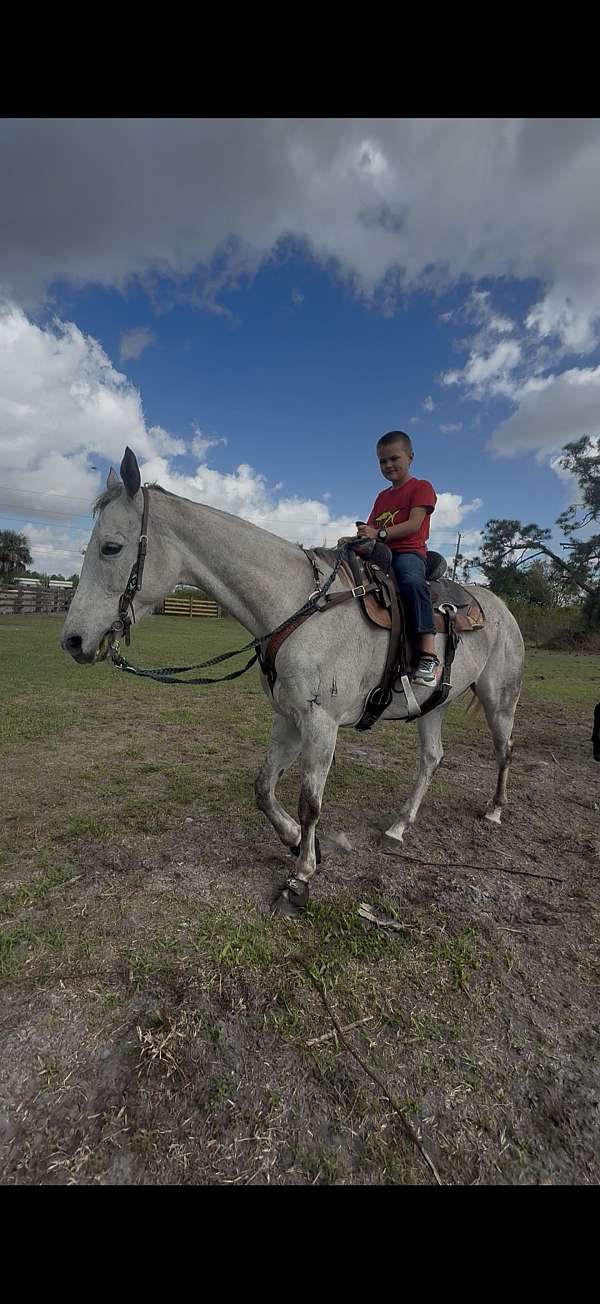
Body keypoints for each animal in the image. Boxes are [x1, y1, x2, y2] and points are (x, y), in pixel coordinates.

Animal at [61, 448, 525, 916]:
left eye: (111, 547)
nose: (73, 641)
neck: (299, 607)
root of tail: (501, 607)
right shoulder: (287, 717)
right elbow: (263, 787)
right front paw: (297, 842)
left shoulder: (321, 724)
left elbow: (309, 804)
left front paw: (300, 879)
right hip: (433, 705)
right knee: (431, 758)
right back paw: (398, 826)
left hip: (498, 698)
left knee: (504, 749)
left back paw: (494, 810)